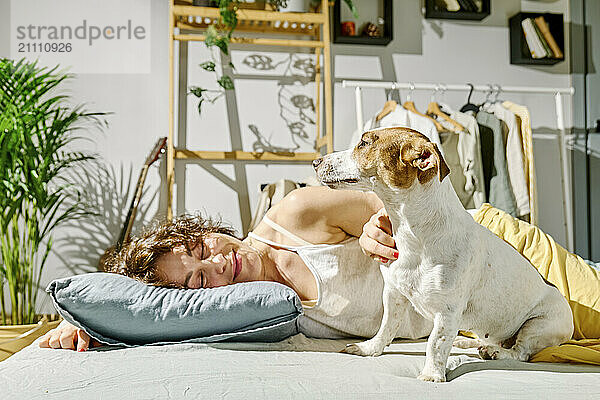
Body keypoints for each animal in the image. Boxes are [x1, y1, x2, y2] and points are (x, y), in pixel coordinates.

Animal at [314, 127, 572, 382]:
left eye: (364, 143)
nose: (316, 161)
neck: (414, 236)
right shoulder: (393, 294)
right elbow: (386, 327)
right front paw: (369, 349)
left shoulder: (447, 312)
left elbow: (435, 343)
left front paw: (432, 375)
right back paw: (468, 342)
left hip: (538, 326)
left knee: (521, 353)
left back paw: (496, 352)